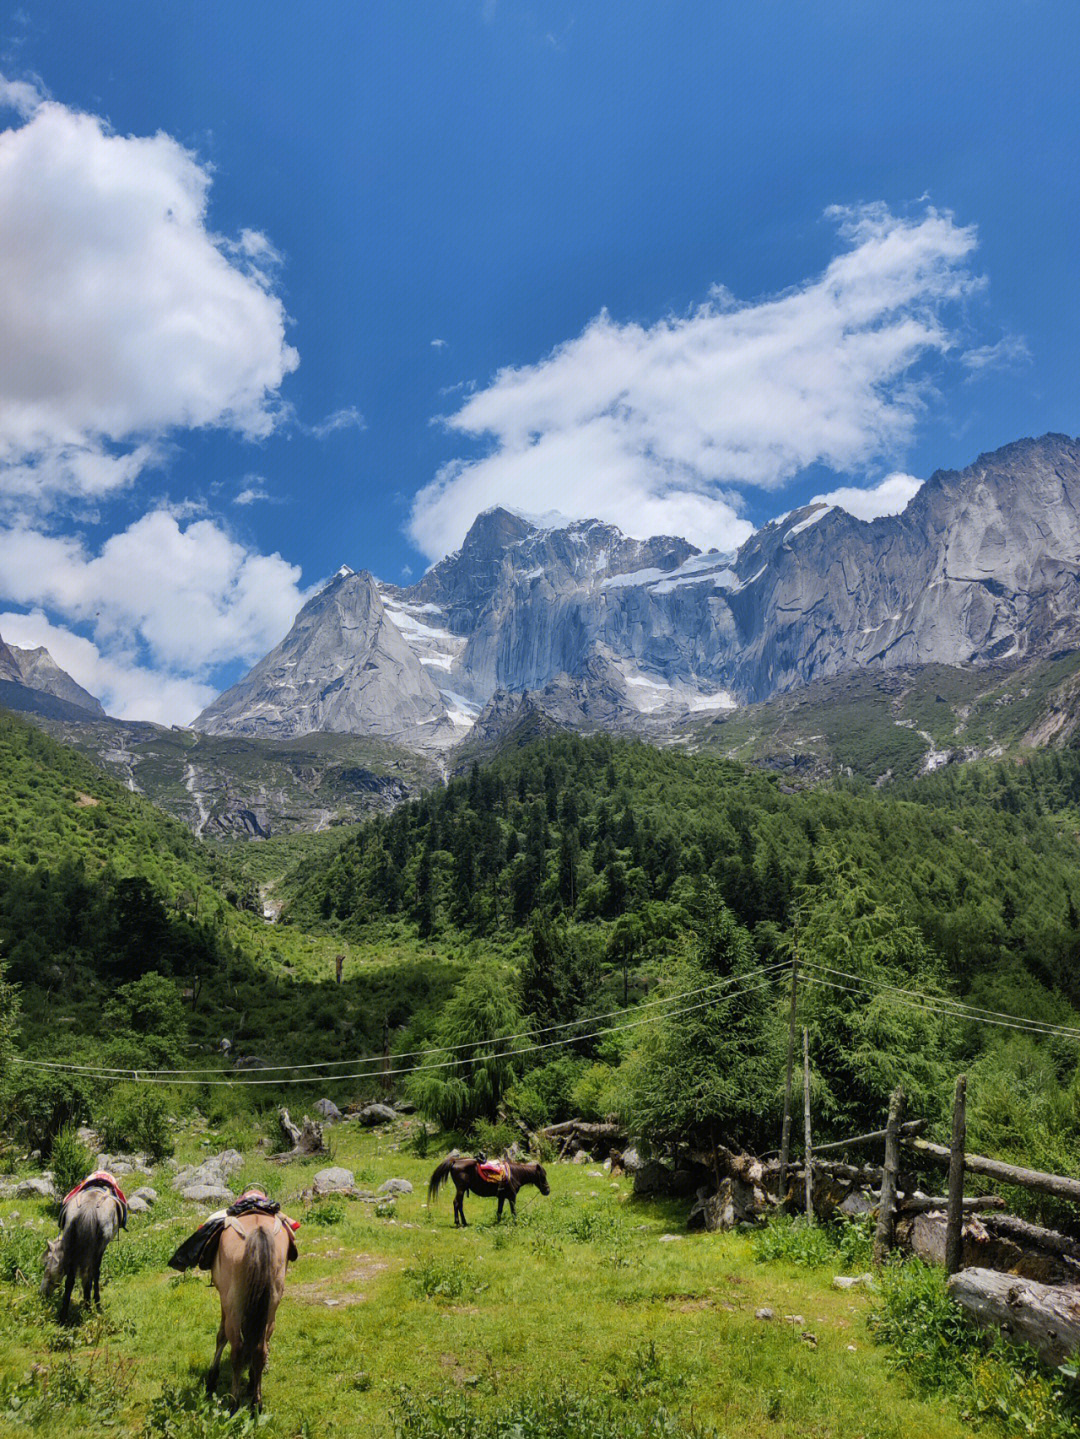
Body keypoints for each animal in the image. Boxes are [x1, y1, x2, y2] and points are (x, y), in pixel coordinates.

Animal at [40, 1185, 120, 1318]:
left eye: (46, 1263)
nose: (42, 1292)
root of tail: (89, 1207)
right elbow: (94, 1275)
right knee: (91, 1274)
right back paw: (92, 1306)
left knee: (70, 1281)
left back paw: (64, 1315)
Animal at [204, 1208, 293, 1410]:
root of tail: (258, 1230)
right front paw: (252, 1381)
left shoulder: (224, 1302)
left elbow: (221, 1336)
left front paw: (212, 1378)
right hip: (271, 1307)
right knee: (261, 1349)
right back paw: (256, 1404)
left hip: (233, 1307)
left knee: (236, 1348)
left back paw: (233, 1405)